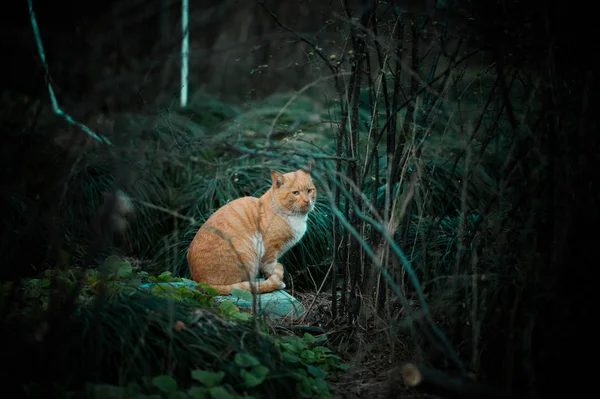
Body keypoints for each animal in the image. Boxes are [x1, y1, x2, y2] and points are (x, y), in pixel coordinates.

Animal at [188, 163, 316, 296]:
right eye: (295, 193)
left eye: (309, 190)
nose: (307, 201)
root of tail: (201, 282)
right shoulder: (270, 250)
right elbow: (270, 270)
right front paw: (277, 283)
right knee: (241, 286)